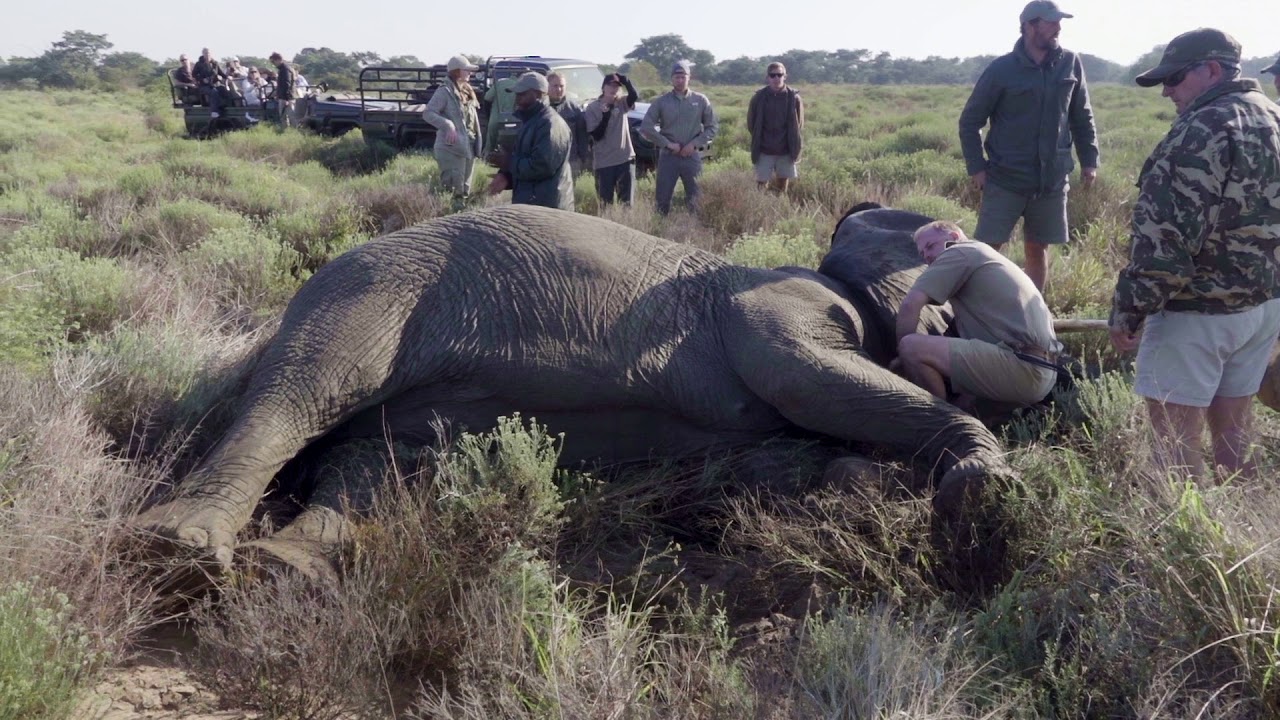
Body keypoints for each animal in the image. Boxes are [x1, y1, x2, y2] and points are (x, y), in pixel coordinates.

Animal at [135, 203, 1006, 574]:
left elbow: (774, 460)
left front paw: (874, 481)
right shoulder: (783, 308)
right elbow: (812, 382)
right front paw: (981, 480)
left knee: (375, 456)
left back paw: (292, 568)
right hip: (368, 290)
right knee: (303, 392)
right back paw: (177, 547)